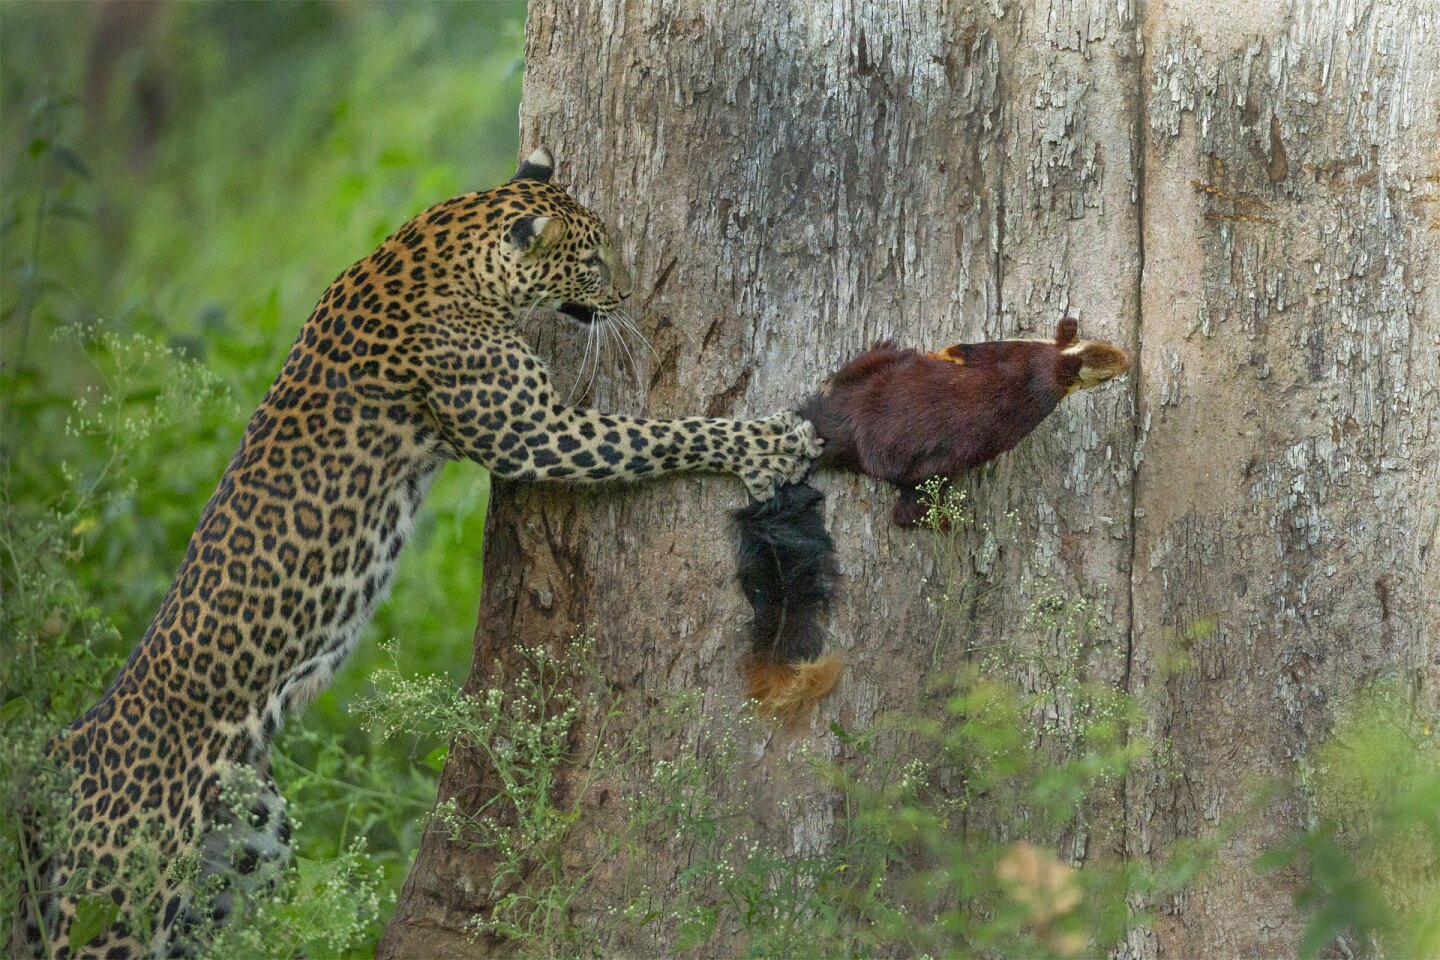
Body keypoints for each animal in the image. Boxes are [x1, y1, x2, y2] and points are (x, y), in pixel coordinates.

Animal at [19, 146, 823, 955]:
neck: (451, 247)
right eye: (593, 258)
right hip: (118, 904)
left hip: (249, 849)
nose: (626, 292)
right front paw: (770, 444)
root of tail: (58, 759)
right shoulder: (537, 434)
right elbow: (663, 435)